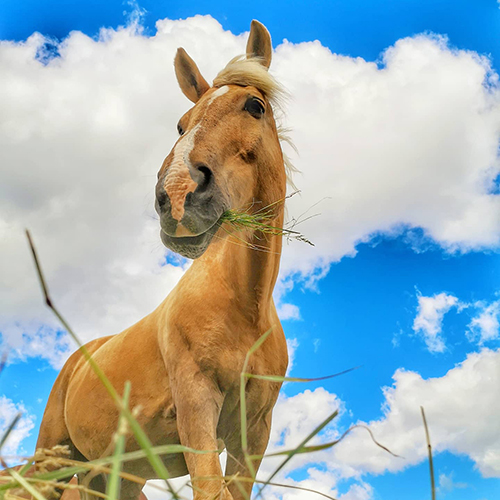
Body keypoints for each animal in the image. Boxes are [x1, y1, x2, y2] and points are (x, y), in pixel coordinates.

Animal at [35, 19, 290, 500]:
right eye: (181, 124)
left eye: (254, 106)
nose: (176, 194)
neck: (244, 308)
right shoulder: (197, 409)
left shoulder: (254, 433)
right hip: (52, 462)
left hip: (111, 475)